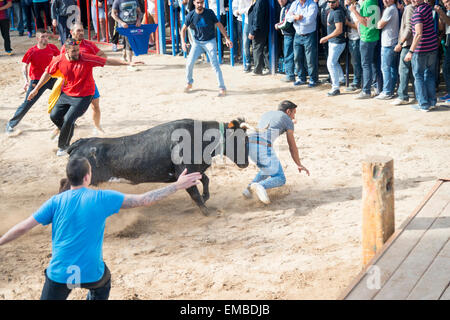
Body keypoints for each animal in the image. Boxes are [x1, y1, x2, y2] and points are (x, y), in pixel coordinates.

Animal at [59, 117, 250, 215]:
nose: (246, 163)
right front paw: (208, 212)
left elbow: (206, 180)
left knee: (62, 182)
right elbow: (196, 195)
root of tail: (80, 143)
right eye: (242, 140)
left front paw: (206, 197)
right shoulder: (184, 173)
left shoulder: (193, 171)